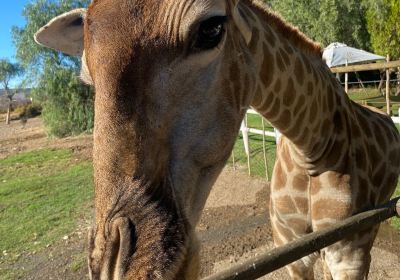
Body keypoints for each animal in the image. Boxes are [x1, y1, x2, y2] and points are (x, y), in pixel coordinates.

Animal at [35, 0, 400, 280]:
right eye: (87, 75)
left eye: (211, 29)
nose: (120, 268)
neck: (313, 148)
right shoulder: (291, 246)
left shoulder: (350, 252)